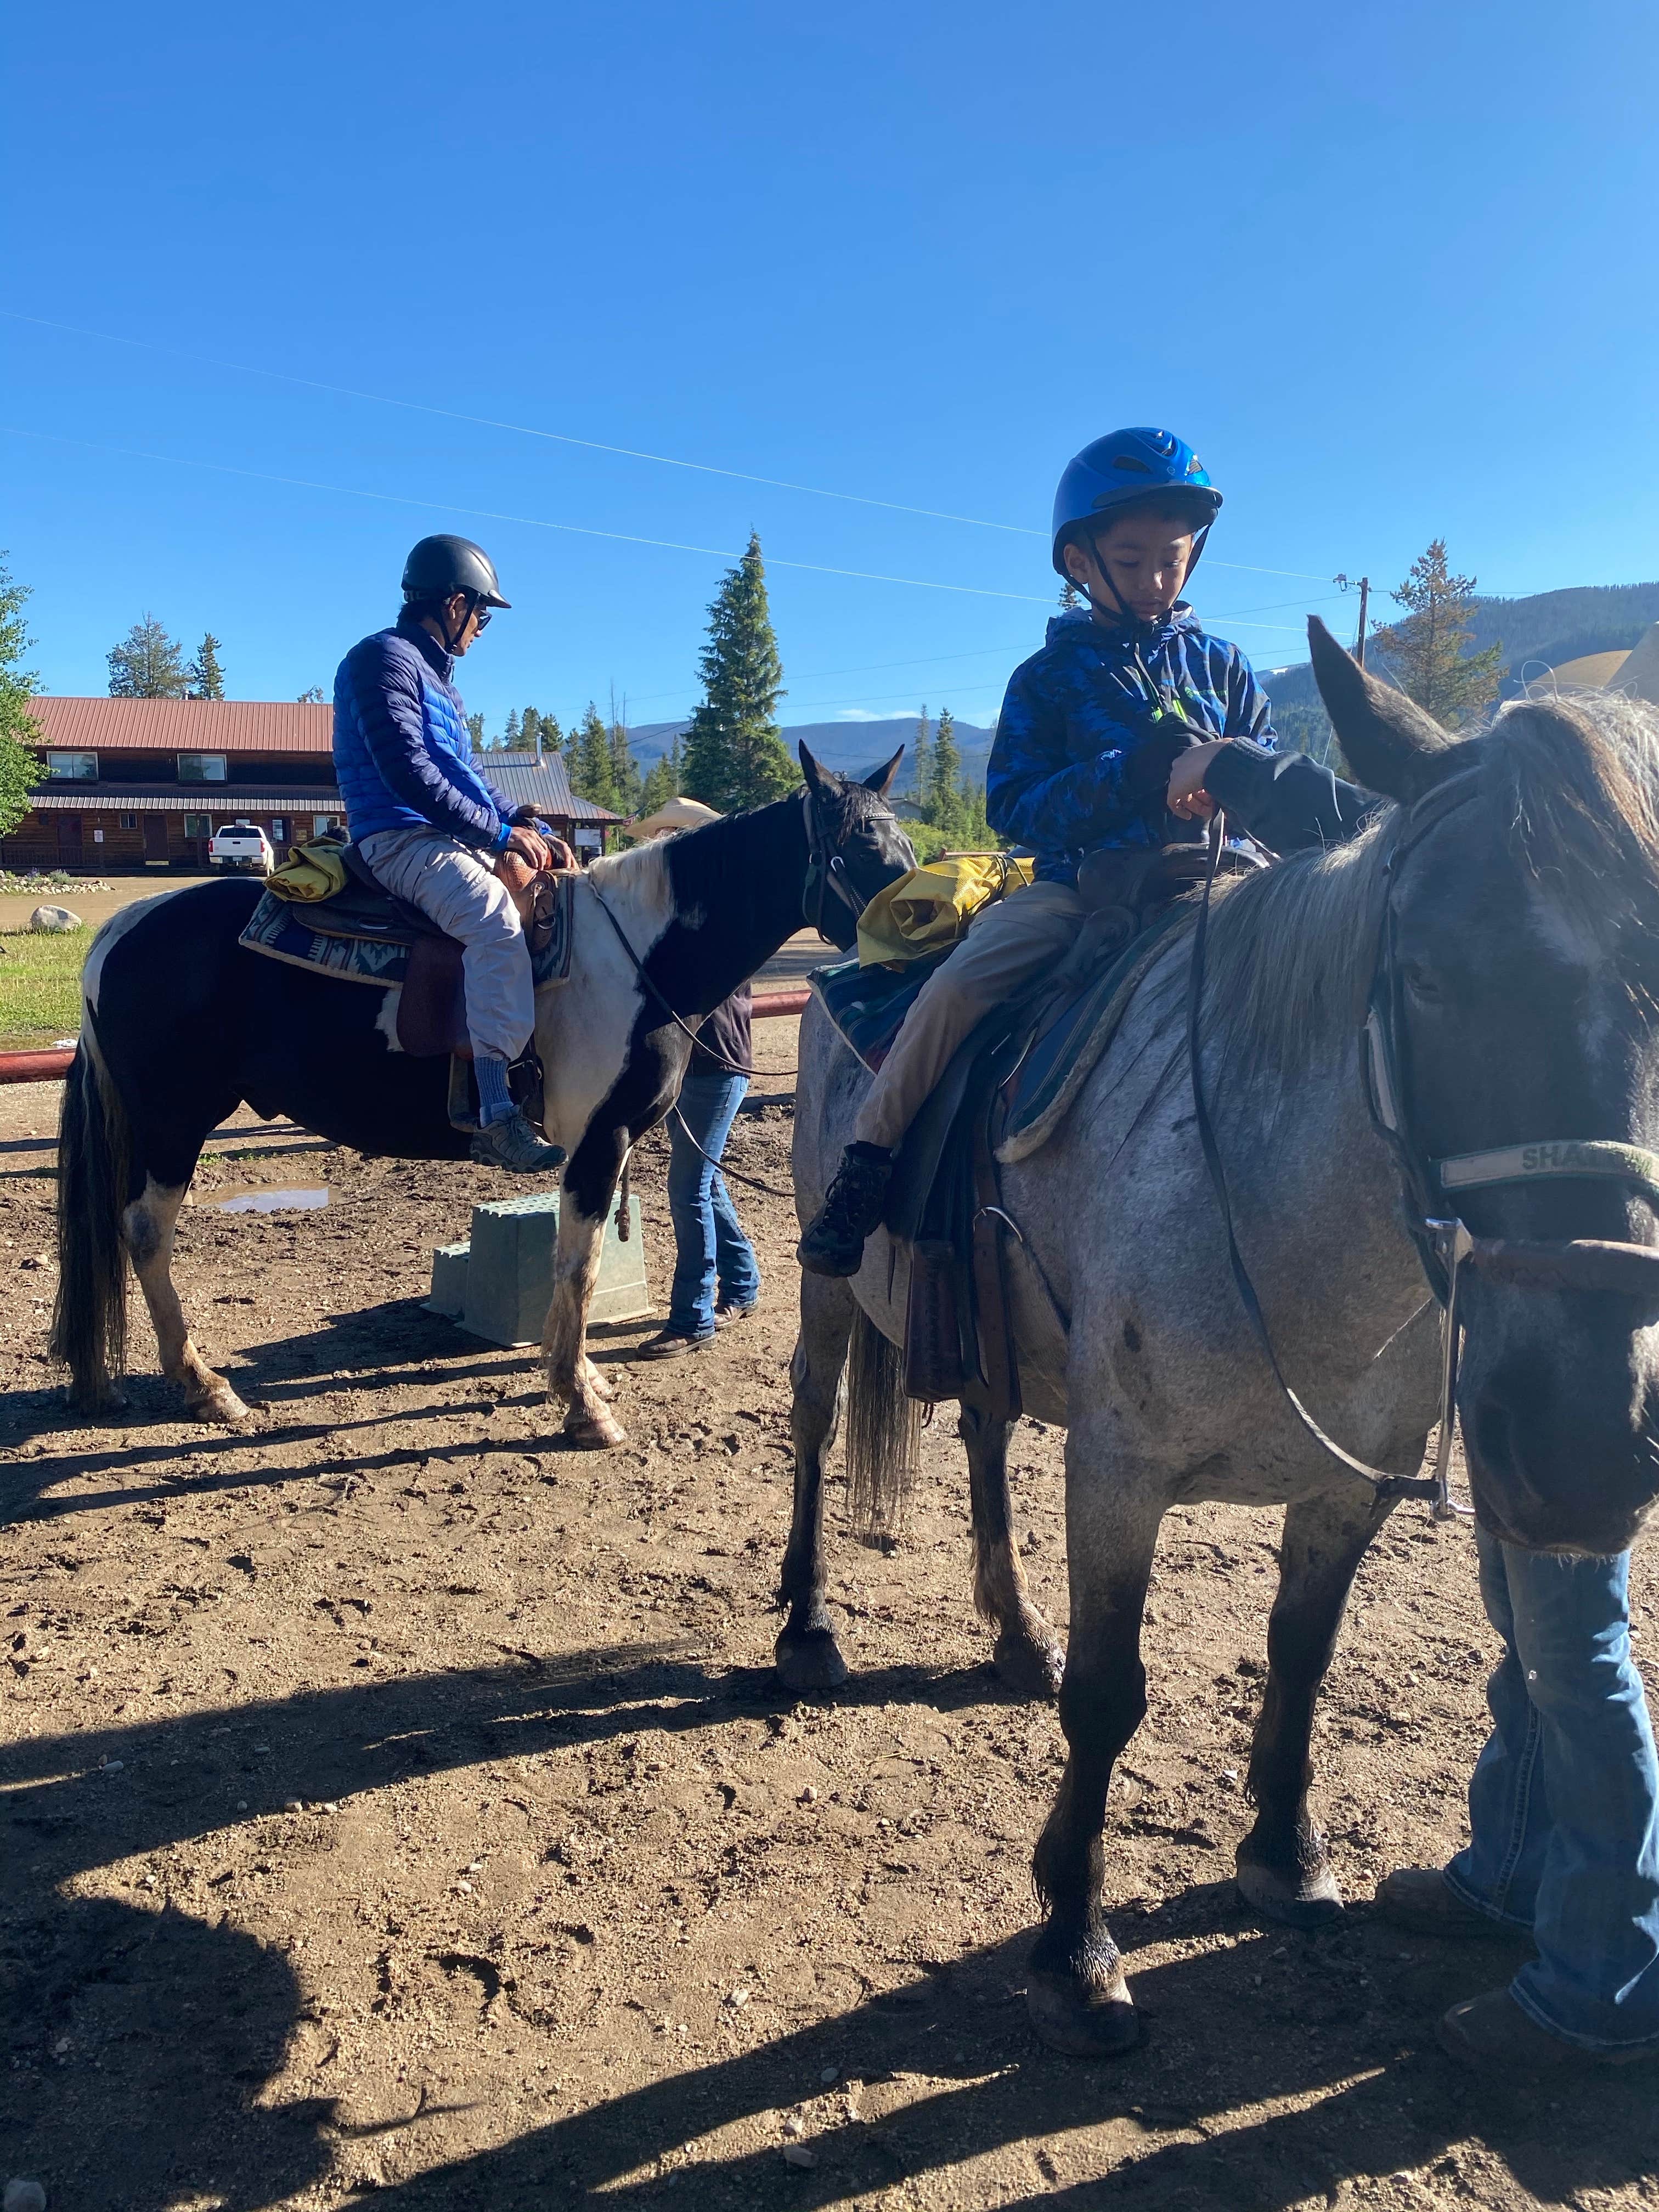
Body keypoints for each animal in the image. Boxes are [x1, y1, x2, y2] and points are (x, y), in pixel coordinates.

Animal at [51, 745, 915, 1447]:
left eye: (906, 846)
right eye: (861, 850)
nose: (923, 945)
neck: (637, 956)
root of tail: (121, 928)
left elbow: (576, 1262)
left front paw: (583, 1380)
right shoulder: (598, 1141)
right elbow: (580, 1264)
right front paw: (581, 1407)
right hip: (174, 1123)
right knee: (145, 1231)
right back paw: (205, 1387)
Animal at [782, 621, 1659, 2055]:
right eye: (1426, 973)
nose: (1581, 1451)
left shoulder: (1351, 1487)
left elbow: (1300, 1656)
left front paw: (1284, 1856)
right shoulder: (1119, 1476)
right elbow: (1109, 1697)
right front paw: (1076, 1945)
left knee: (979, 1436)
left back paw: (1011, 1631)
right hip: (830, 1282)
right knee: (809, 1415)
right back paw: (804, 1628)